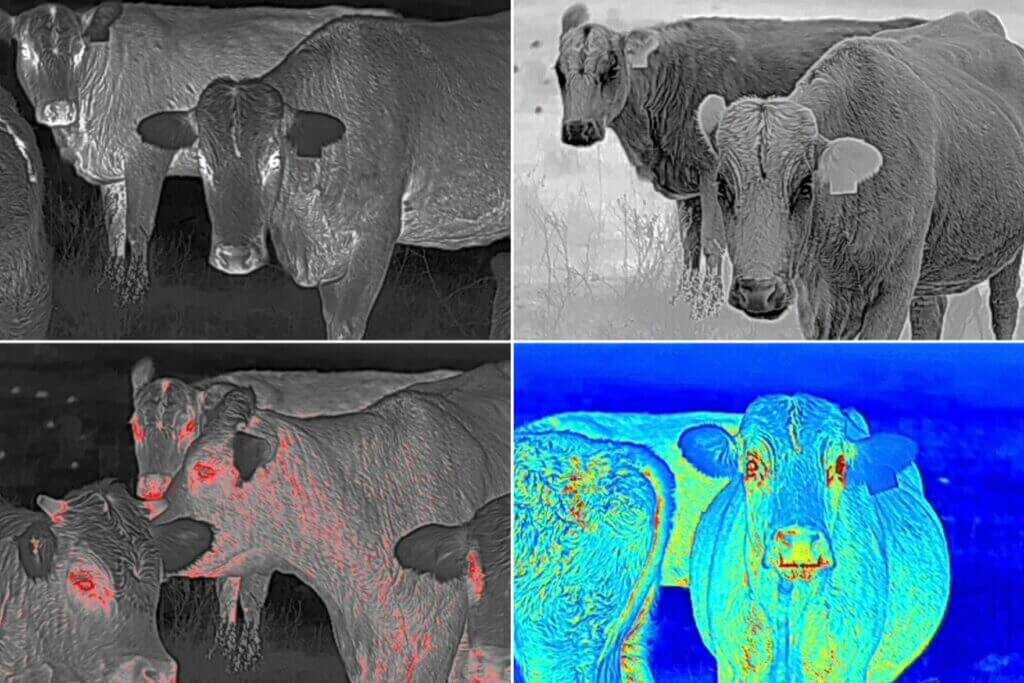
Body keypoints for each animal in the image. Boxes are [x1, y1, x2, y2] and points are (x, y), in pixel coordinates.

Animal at [0, 2, 393, 301]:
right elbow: (113, 229)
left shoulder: (147, 157)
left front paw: (134, 294)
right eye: (25, 50)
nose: (58, 109)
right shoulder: (112, 172)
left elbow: (137, 227)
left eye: (79, 50)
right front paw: (109, 287)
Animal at [555, 4, 922, 316]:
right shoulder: (689, 188)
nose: (578, 128)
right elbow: (689, 245)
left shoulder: (709, 173)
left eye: (612, 68)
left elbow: (712, 242)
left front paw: (708, 307)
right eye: (559, 71)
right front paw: (683, 299)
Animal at [696, 11, 1024, 339]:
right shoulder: (815, 297)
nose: (758, 291)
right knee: (930, 315)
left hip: (1008, 254)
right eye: (722, 187)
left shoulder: (895, 285)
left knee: (1004, 307)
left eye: (805, 186)